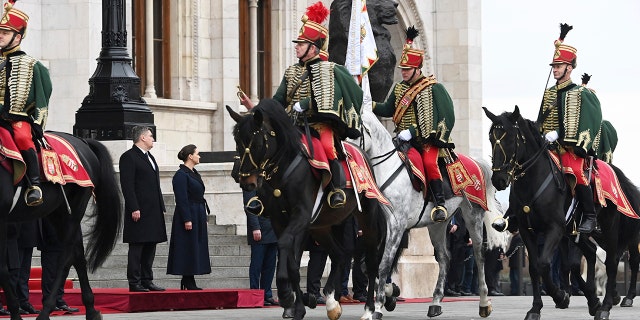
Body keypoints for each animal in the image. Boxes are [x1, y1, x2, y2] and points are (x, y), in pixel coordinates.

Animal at [0, 132, 122, 320]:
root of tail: (81, 140)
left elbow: (2, 269)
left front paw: (15, 313)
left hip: (73, 210)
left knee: (65, 258)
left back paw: (46, 310)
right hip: (57, 214)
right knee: (77, 255)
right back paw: (91, 309)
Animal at [228, 100, 390, 320]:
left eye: (258, 144)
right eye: (237, 142)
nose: (246, 181)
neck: (283, 170)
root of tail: (363, 154)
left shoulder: (301, 217)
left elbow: (285, 246)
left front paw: (286, 294)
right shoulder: (280, 221)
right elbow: (292, 263)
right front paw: (296, 306)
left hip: (367, 218)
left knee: (371, 263)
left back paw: (370, 309)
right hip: (320, 227)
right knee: (340, 254)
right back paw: (331, 302)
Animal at [352, 106, 508, 318]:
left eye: (354, 130)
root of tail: (475, 162)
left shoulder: (397, 225)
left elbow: (384, 263)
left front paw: (377, 306)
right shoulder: (382, 227)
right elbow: (370, 264)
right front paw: (389, 295)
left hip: (473, 215)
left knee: (478, 254)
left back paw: (484, 303)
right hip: (437, 225)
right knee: (444, 258)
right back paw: (435, 302)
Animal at [484, 107, 640, 320]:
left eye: (511, 138)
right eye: (491, 138)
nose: (499, 179)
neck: (533, 181)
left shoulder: (555, 229)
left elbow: (544, 264)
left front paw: (560, 296)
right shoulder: (527, 231)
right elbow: (536, 267)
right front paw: (536, 308)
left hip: (609, 230)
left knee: (613, 262)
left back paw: (608, 304)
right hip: (578, 233)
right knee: (591, 254)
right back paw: (594, 300)